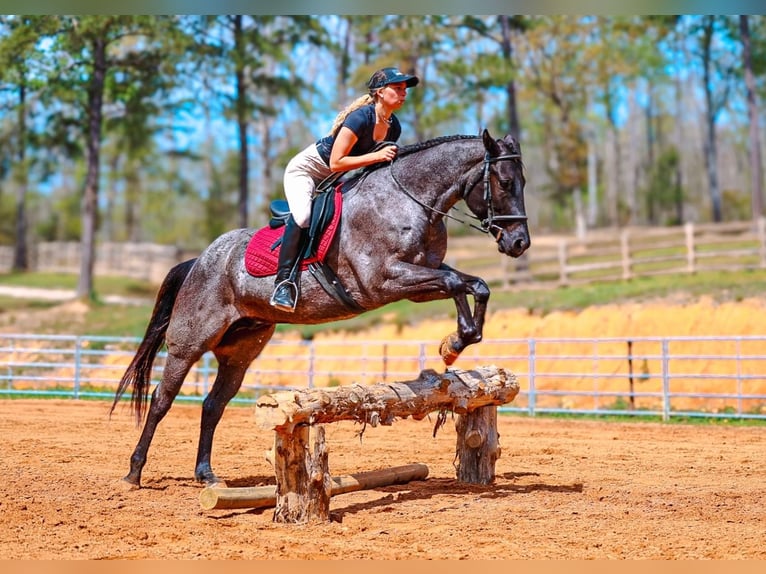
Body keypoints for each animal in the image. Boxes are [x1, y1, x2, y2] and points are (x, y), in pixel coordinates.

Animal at [110, 128, 530, 488]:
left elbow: (471, 284)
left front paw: (456, 343)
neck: (409, 200)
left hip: (241, 350)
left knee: (214, 404)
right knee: (161, 400)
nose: (519, 243)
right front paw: (455, 342)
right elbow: (456, 283)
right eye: (505, 182)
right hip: (189, 343)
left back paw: (206, 474)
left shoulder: (420, 277)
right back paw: (134, 473)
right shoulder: (386, 281)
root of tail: (198, 260)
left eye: (522, 182)